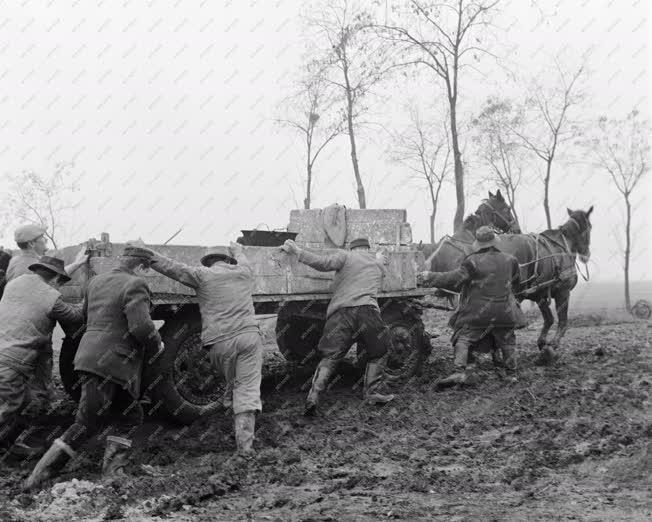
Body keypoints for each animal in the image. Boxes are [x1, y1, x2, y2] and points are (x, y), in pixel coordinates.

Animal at [494, 206, 596, 358]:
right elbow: (562, 321)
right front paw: (553, 344)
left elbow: (549, 319)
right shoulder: (563, 292)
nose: (586, 255)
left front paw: (542, 343)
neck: (563, 246)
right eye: (589, 227)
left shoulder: (540, 294)